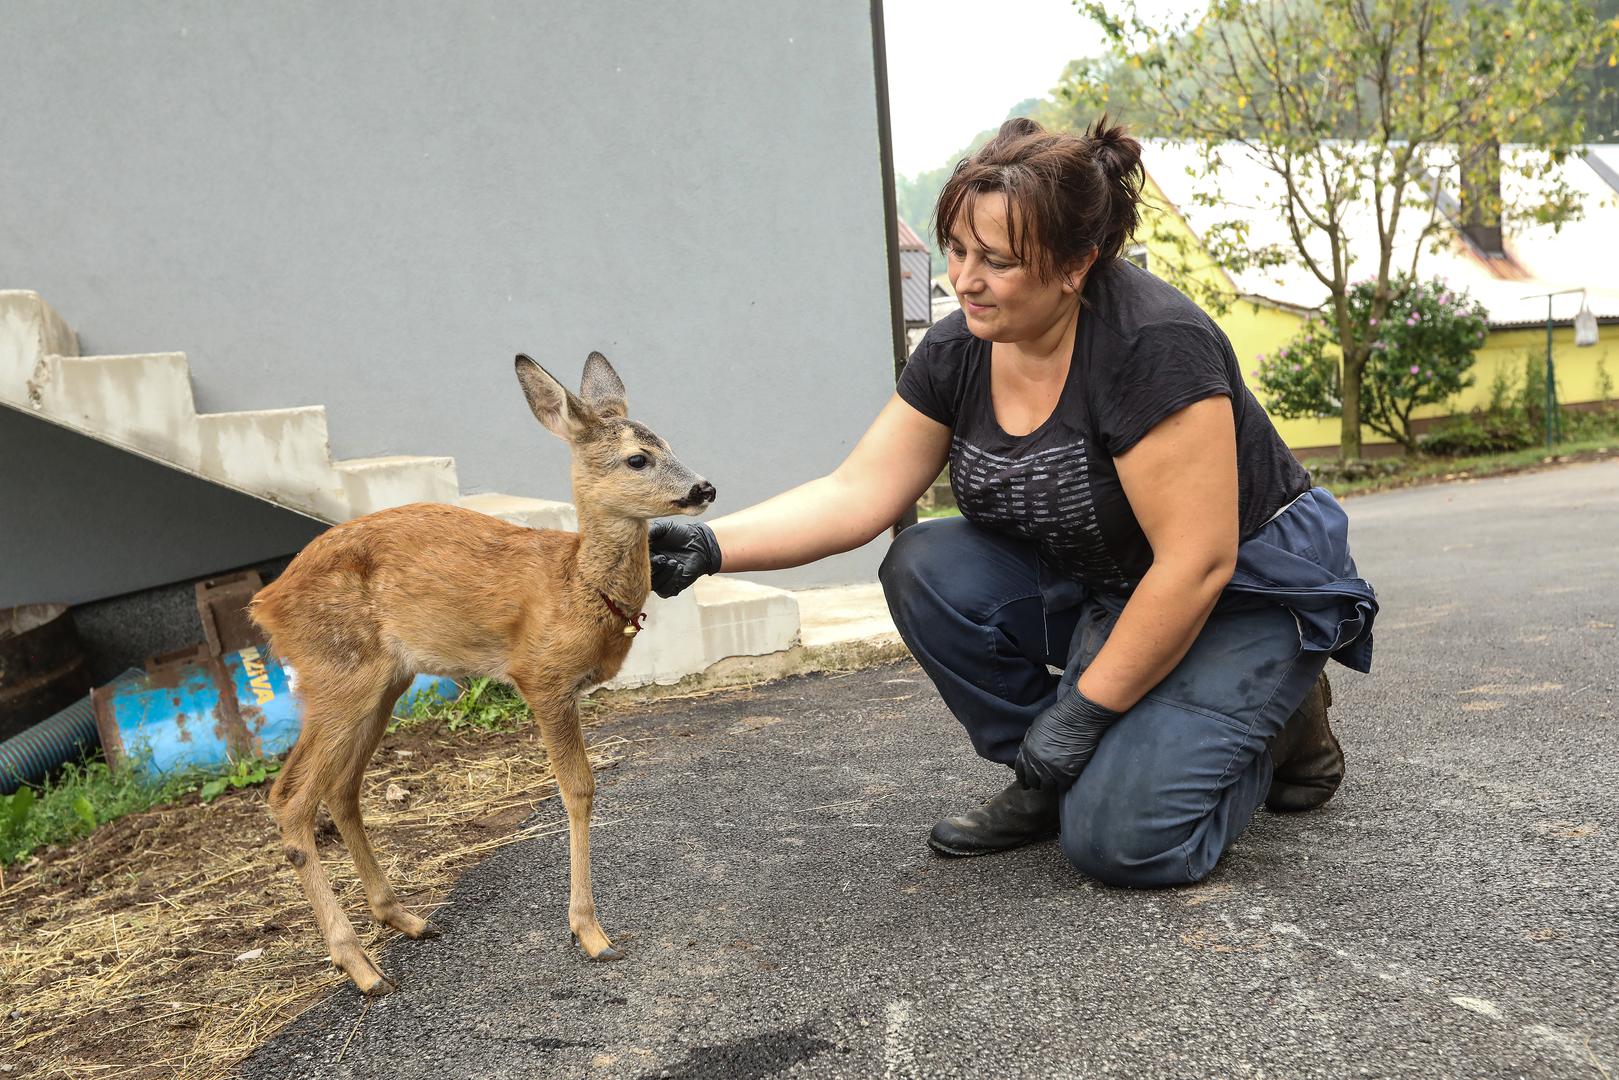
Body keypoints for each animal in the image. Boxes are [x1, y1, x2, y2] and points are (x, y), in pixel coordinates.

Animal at [250, 354, 715, 997]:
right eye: (637, 459)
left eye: (669, 443)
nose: (704, 488)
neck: (576, 587)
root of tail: (264, 601)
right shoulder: (541, 677)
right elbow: (579, 789)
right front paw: (591, 934)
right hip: (337, 672)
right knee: (291, 798)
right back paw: (361, 967)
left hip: (382, 684)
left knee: (341, 789)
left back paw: (404, 919)